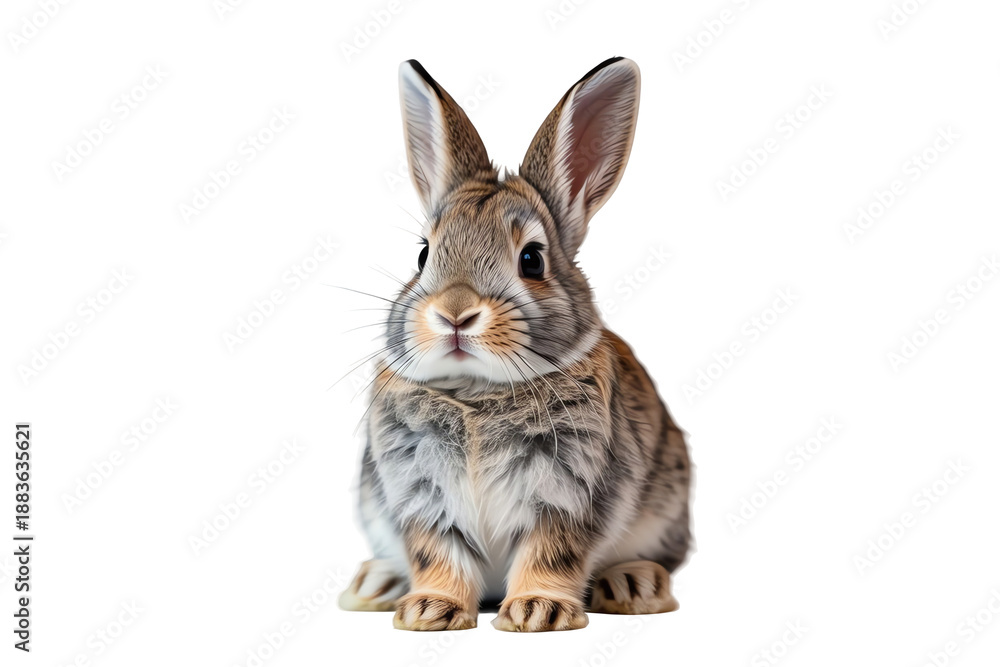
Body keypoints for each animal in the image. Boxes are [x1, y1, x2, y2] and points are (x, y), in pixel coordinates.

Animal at [338, 57, 692, 632]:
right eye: (423, 254)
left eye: (532, 260)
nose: (454, 313)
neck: (476, 391)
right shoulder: (422, 495)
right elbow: (437, 554)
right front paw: (428, 610)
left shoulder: (569, 493)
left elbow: (551, 552)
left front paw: (538, 611)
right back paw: (376, 585)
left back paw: (634, 584)